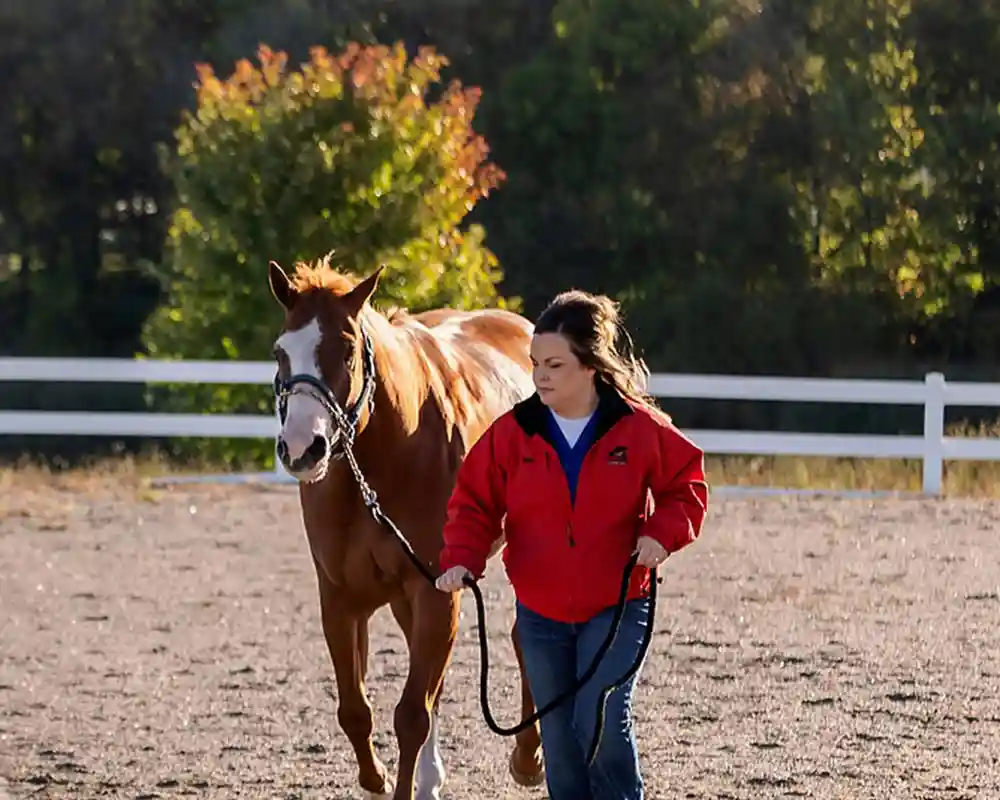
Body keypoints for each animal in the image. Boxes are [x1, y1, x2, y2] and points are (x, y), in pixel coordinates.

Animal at [266, 255, 545, 800]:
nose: (302, 449)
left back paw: (529, 758)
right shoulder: (340, 597)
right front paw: (375, 778)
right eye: (280, 352)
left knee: (528, 637)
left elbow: (413, 714)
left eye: (348, 351)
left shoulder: (436, 591)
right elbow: (356, 710)